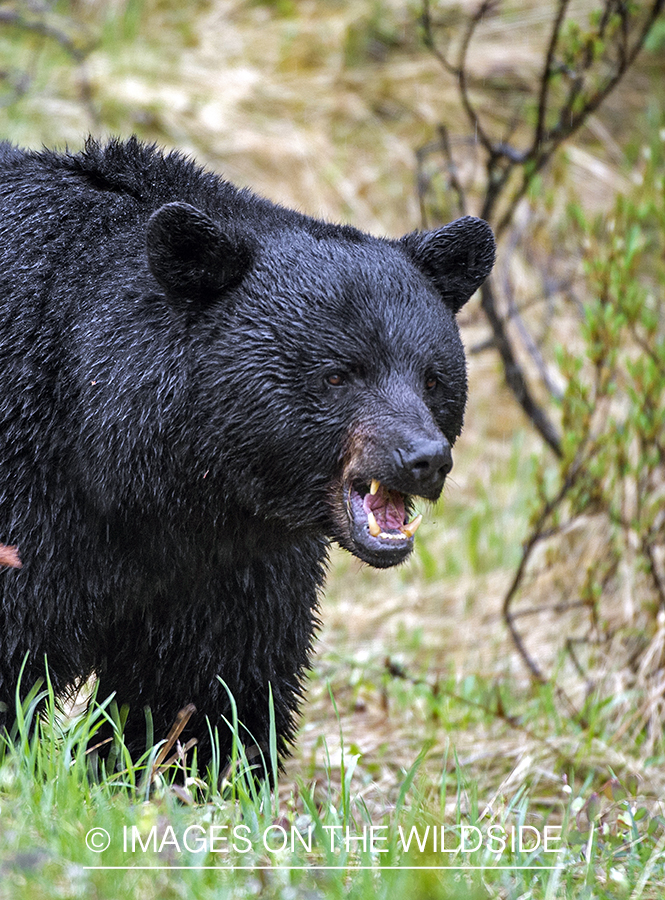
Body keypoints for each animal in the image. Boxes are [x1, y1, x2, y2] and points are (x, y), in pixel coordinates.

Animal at [0, 137, 492, 768]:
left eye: (433, 379)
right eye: (339, 374)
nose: (424, 458)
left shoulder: (233, 565)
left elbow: (204, 687)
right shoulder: (31, 488)